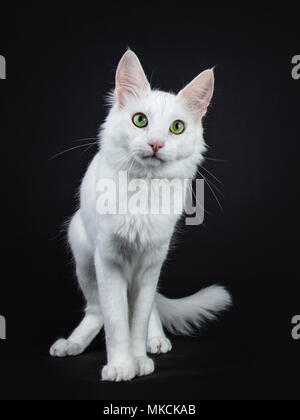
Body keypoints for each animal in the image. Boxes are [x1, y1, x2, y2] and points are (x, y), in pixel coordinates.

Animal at [49, 50, 232, 382]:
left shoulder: (151, 261)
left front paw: (138, 359)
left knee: (148, 309)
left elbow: (138, 318)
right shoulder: (108, 261)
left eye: (177, 127)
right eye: (140, 120)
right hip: (83, 256)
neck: (143, 191)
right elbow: (116, 321)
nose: (156, 144)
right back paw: (71, 344)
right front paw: (121, 366)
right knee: (96, 312)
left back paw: (156, 339)